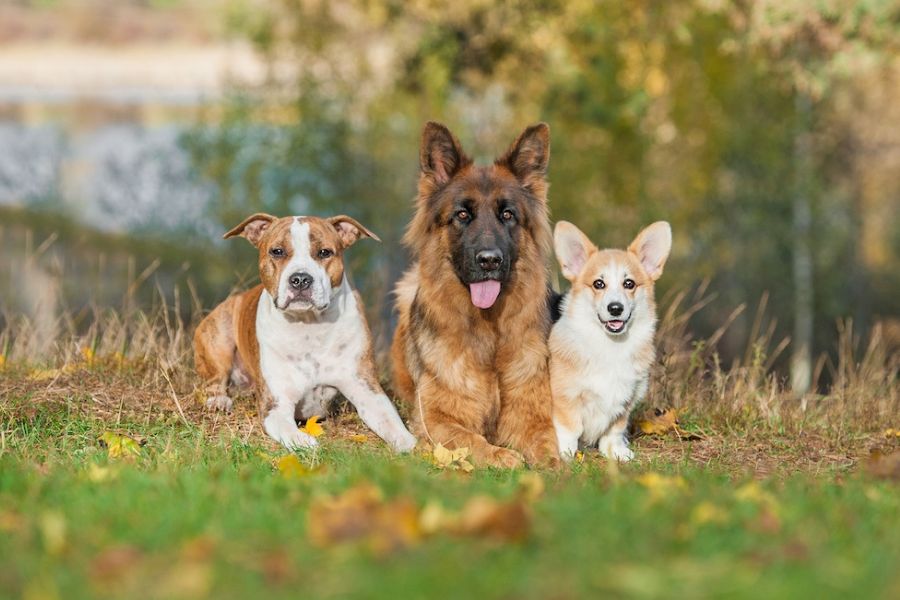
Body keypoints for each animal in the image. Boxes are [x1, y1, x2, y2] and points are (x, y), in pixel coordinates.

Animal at [194, 213, 418, 452]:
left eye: (324, 252)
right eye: (277, 251)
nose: (300, 279)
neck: (309, 326)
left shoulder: (367, 390)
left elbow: (392, 423)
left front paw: (412, 444)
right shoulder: (276, 404)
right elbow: (291, 433)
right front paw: (307, 442)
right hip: (219, 336)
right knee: (216, 378)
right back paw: (219, 400)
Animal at [390, 122, 560, 468]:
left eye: (507, 215)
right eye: (462, 215)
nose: (489, 260)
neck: (489, 330)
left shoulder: (532, 415)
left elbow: (547, 444)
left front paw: (554, 466)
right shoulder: (436, 419)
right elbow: (472, 440)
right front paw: (502, 456)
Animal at [544, 220, 672, 460]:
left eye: (629, 284)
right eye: (598, 284)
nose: (615, 308)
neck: (611, 346)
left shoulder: (626, 400)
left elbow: (615, 429)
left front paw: (616, 452)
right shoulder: (566, 397)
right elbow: (569, 429)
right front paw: (565, 453)